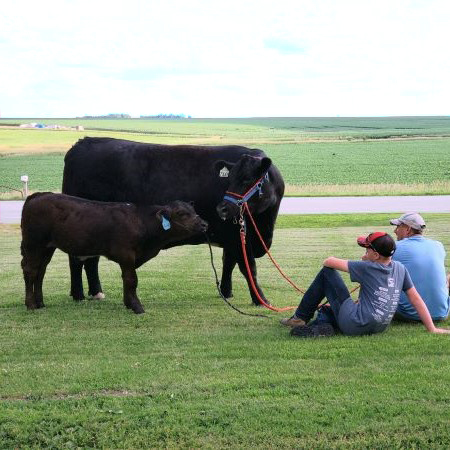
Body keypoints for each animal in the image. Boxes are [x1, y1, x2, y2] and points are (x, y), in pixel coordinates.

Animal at [19, 192, 206, 312]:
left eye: (194, 211)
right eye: (181, 213)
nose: (204, 224)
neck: (141, 221)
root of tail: (38, 195)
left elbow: (126, 279)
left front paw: (128, 303)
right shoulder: (127, 254)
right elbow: (131, 279)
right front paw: (137, 306)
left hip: (47, 247)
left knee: (40, 272)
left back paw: (40, 302)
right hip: (34, 244)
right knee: (30, 271)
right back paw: (31, 304)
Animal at [62, 137, 284, 306]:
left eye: (247, 179)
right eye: (229, 180)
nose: (222, 208)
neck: (265, 224)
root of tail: (83, 143)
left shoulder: (233, 234)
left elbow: (228, 262)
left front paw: (226, 291)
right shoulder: (235, 235)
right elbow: (248, 268)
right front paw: (260, 299)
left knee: (90, 260)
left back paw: (95, 292)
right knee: (77, 260)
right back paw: (79, 294)